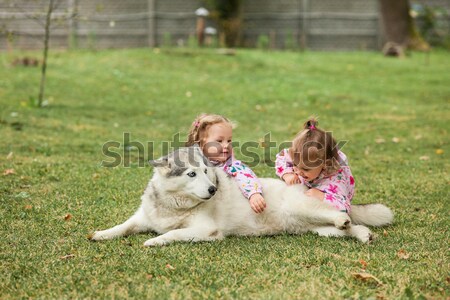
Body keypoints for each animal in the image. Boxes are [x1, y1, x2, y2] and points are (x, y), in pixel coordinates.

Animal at [91, 148, 394, 246]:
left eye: (206, 172)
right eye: (191, 174)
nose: (213, 190)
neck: (174, 206)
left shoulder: (205, 231)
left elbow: (173, 234)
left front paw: (155, 241)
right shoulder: (142, 218)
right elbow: (123, 227)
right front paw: (101, 234)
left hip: (306, 209)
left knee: (340, 215)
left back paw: (347, 221)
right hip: (316, 229)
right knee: (348, 227)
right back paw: (362, 234)